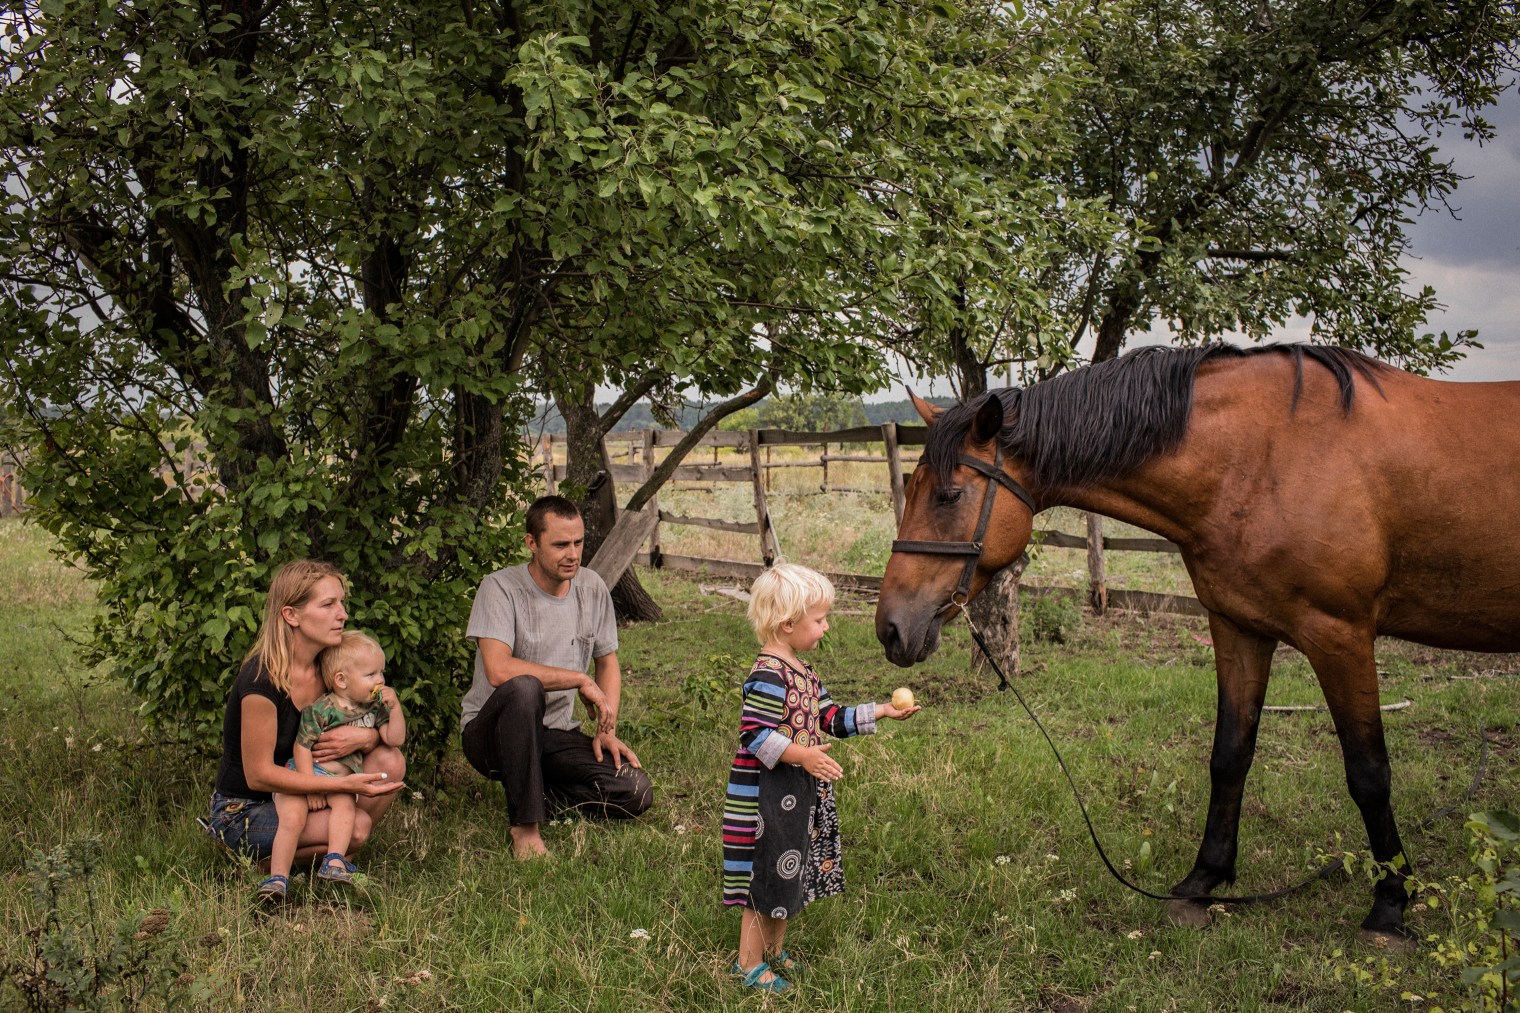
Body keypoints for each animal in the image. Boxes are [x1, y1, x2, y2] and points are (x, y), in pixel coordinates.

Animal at [875, 340, 1520, 936]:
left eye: (949, 495)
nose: (891, 628)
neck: (1264, 456)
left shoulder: (1341, 635)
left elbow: (1369, 773)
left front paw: (1390, 902)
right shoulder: (1238, 628)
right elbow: (1229, 755)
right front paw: (1204, 880)